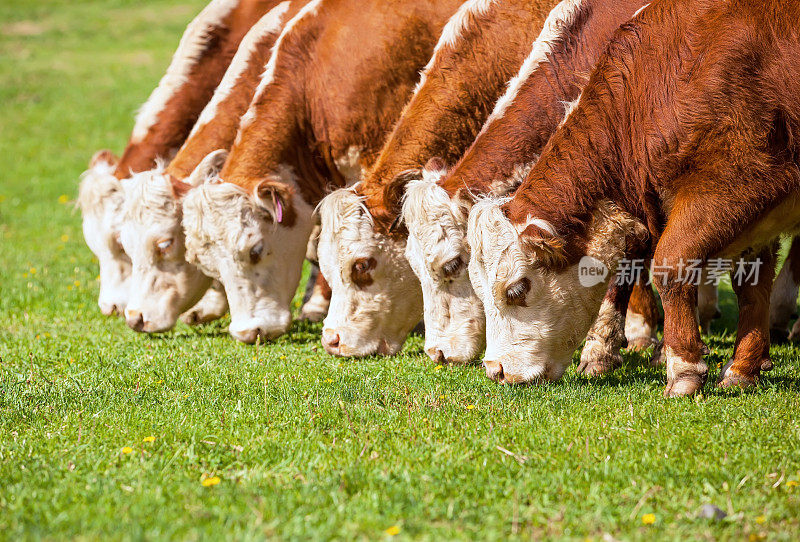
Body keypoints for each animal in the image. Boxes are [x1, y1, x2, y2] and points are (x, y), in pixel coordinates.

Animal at [462, 0, 800, 398]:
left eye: (516, 289)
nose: (495, 370)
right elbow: (751, 285)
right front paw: (743, 369)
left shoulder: (741, 181)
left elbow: (670, 265)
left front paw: (684, 369)